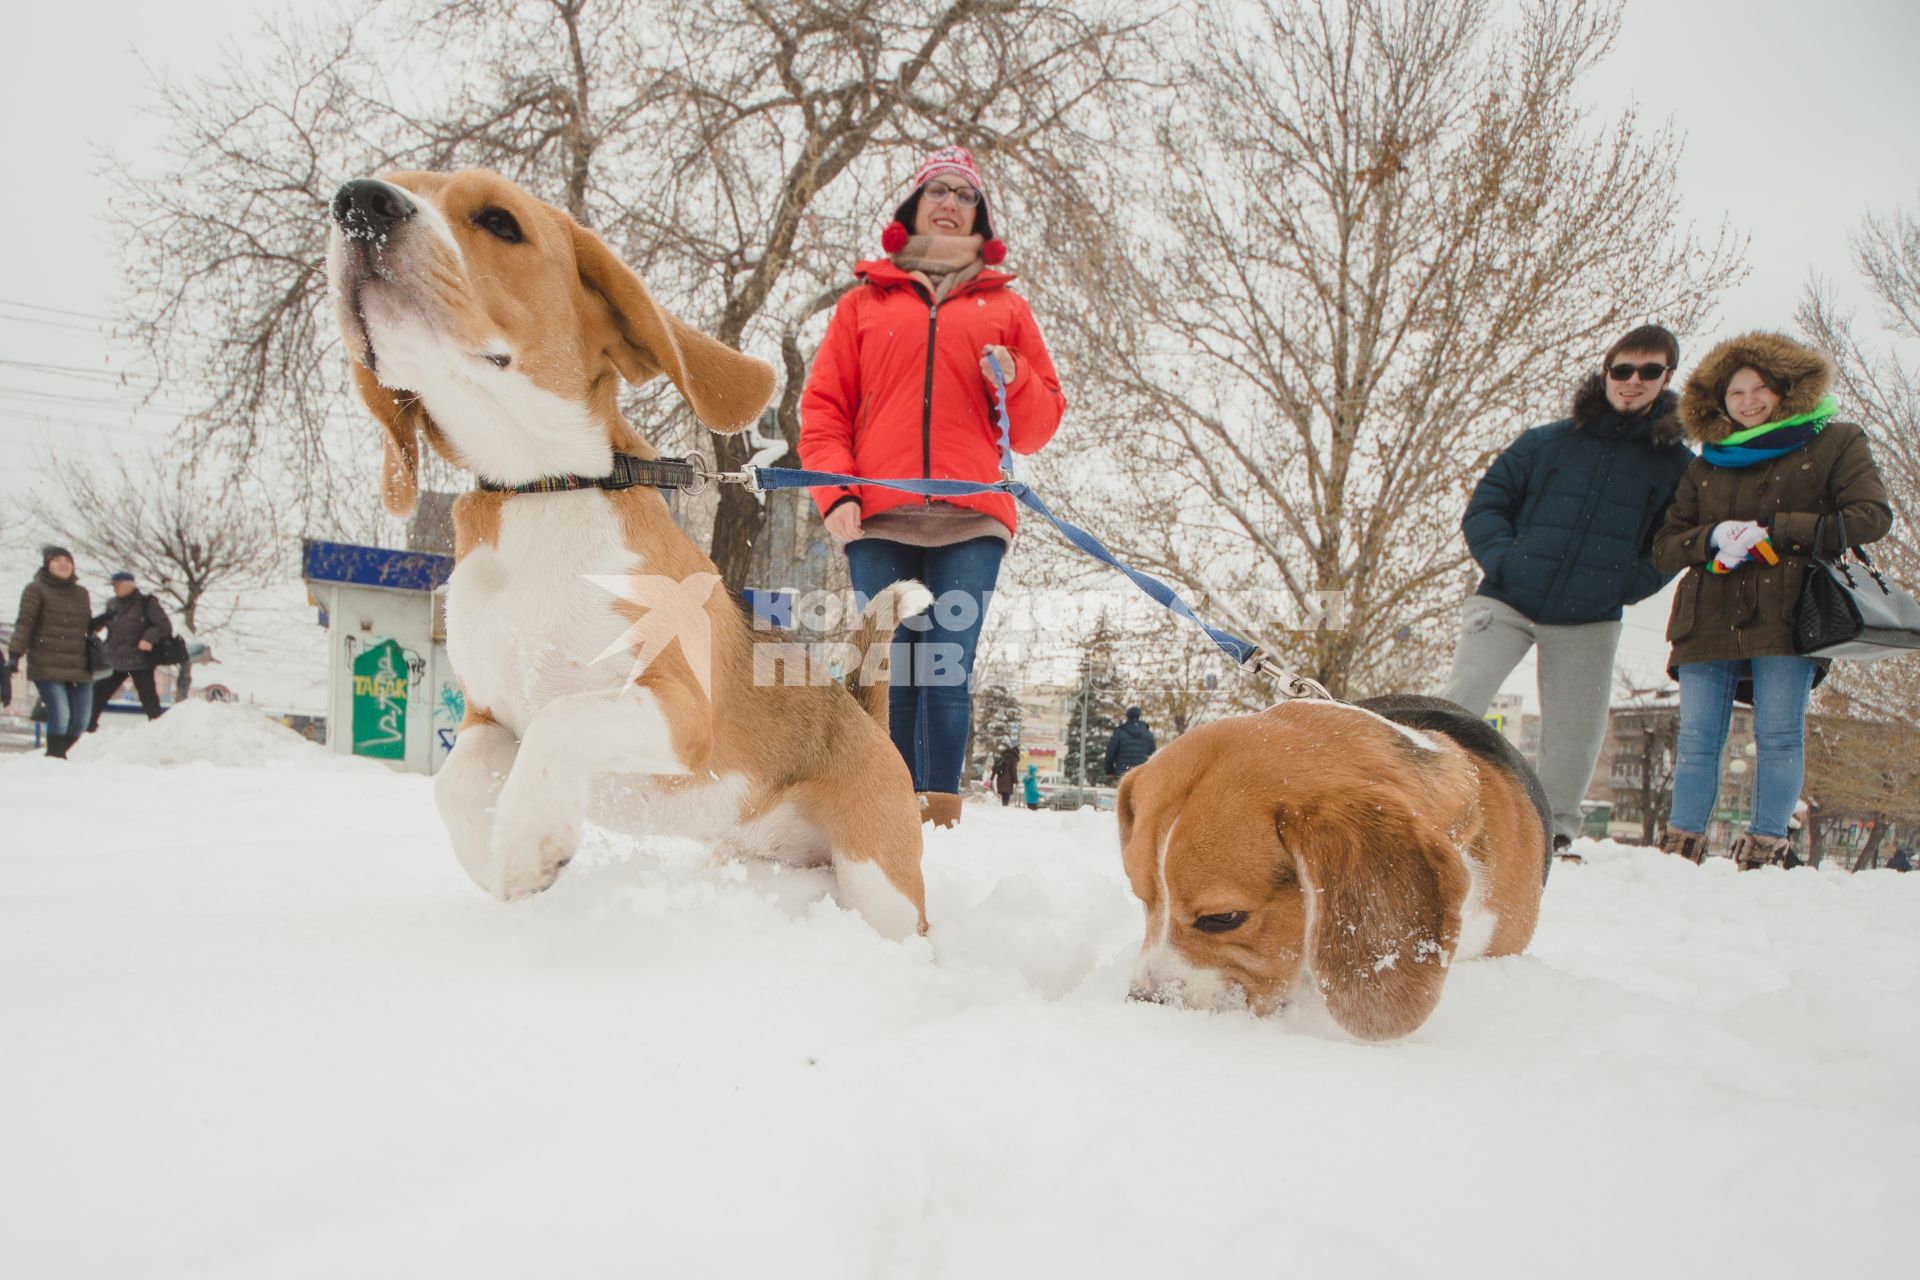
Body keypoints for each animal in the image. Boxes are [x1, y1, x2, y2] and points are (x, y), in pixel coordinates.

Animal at [322, 165, 929, 936]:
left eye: (498, 220)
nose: (358, 203)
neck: (542, 489)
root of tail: (859, 710)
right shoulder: (489, 714)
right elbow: (455, 781)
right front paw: (499, 858)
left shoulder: (679, 708)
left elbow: (563, 719)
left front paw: (528, 841)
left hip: (880, 885)